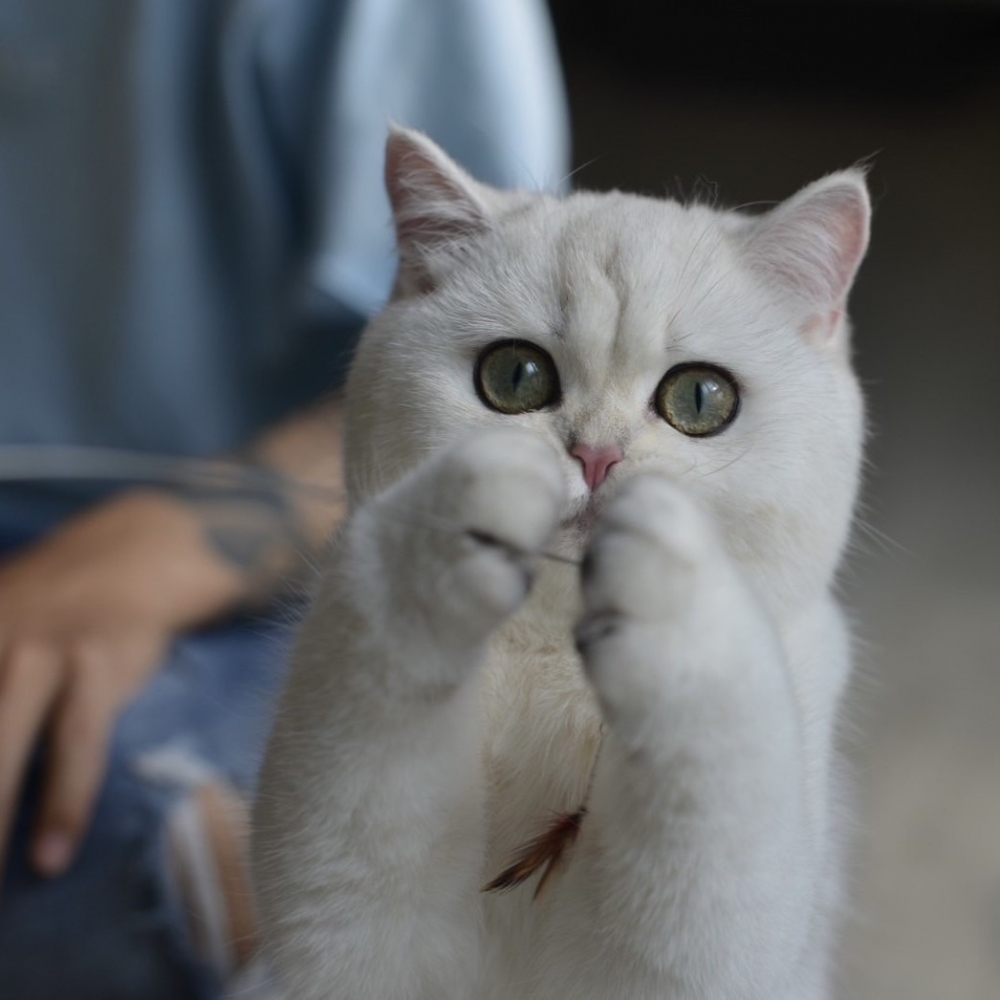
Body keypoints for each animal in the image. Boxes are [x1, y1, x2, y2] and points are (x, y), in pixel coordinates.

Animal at [254, 127, 872, 1000]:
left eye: (701, 398)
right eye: (515, 377)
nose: (597, 456)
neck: (556, 663)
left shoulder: (706, 951)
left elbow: (711, 801)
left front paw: (672, 595)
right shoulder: (357, 935)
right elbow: (367, 719)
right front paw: (477, 500)